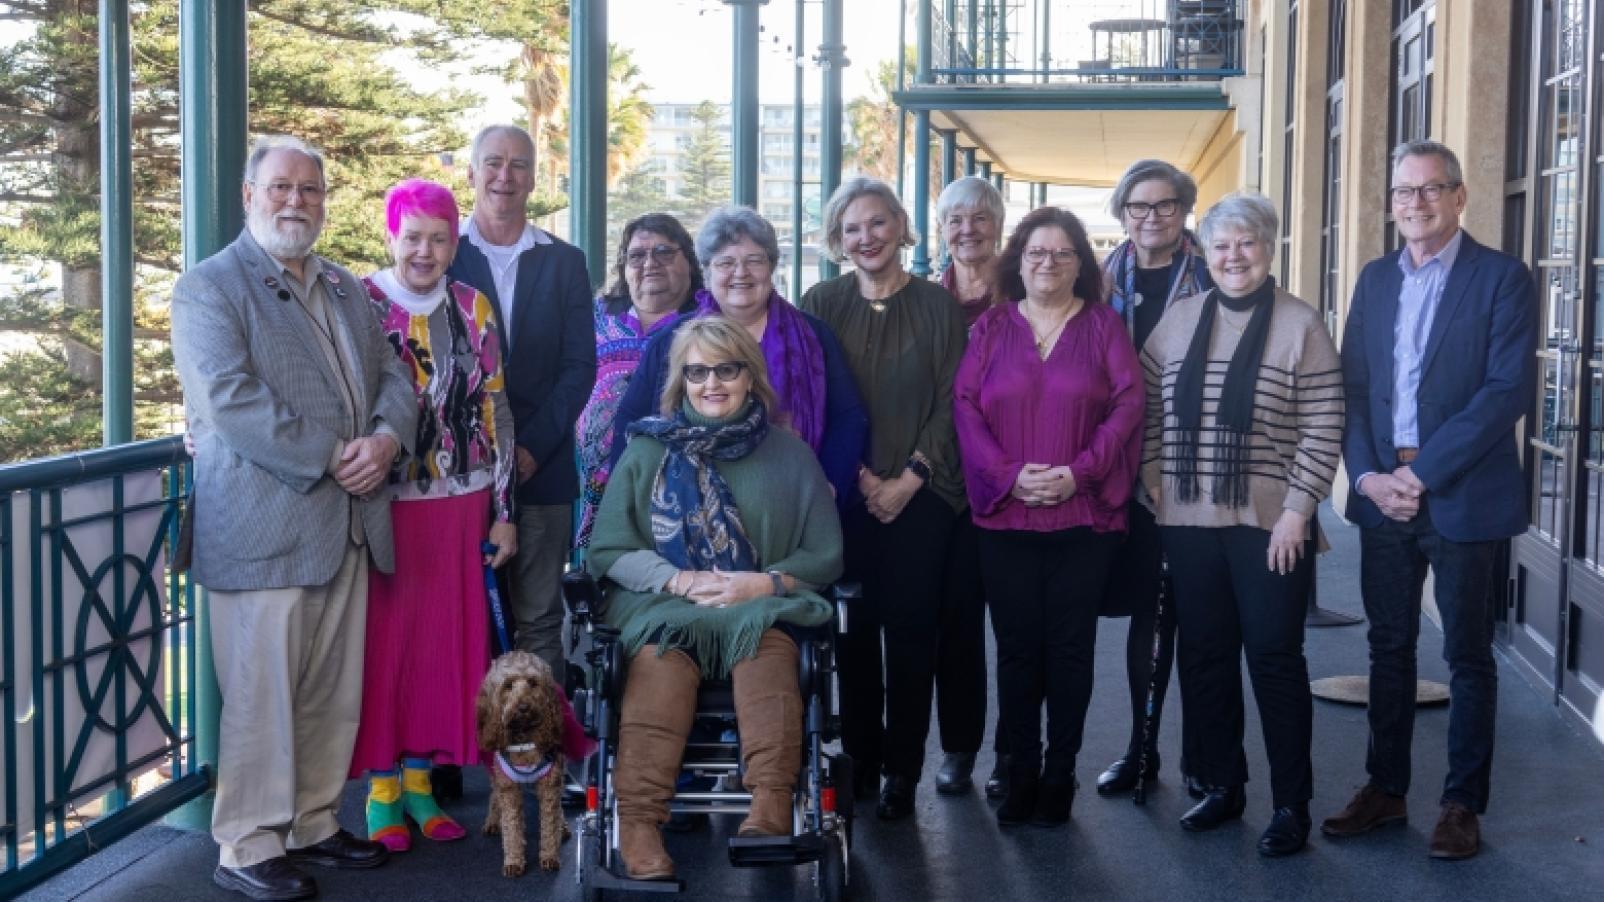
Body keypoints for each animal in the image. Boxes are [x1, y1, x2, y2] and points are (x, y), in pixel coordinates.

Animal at [474, 648, 571, 873]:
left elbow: (550, 822)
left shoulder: (550, 784)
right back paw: (493, 821)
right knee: (495, 795)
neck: (524, 738)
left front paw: (550, 856)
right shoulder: (508, 786)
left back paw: (562, 827)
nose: (524, 707)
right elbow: (511, 824)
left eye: (533, 682)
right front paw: (514, 861)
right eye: (508, 685)